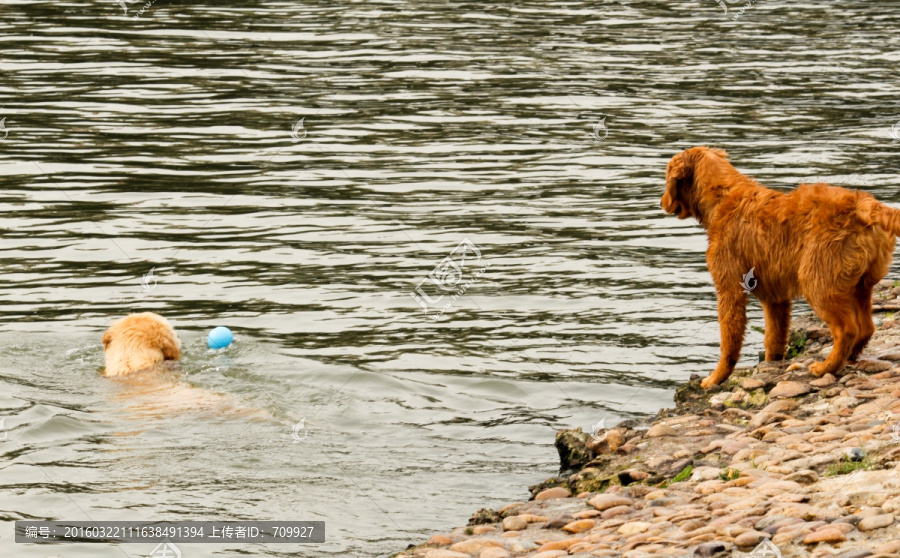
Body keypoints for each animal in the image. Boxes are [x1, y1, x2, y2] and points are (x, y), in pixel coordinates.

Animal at [660, 147, 900, 388]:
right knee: (866, 326)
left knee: (847, 328)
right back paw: (849, 357)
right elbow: (774, 336)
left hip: (818, 276)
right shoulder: (774, 294)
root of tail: (862, 204)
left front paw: (715, 378)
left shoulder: (729, 284)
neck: (721, 198)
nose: (662, 202)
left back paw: (825, 367)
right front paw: (771, 362)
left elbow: (729, 338)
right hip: (863, 281)